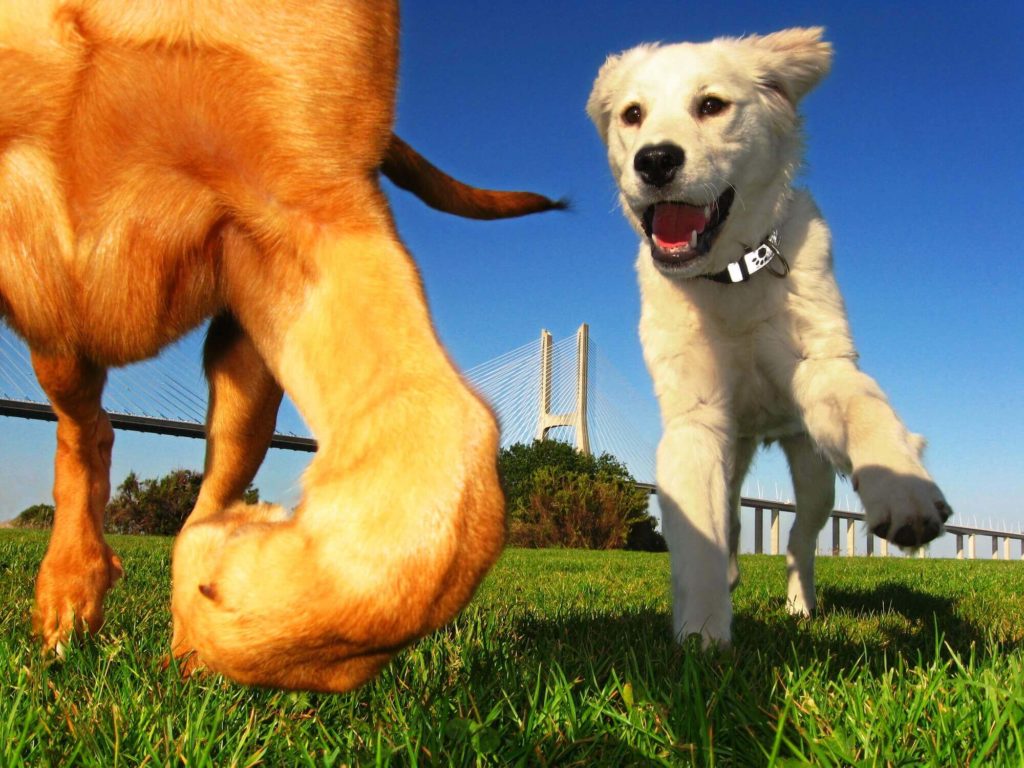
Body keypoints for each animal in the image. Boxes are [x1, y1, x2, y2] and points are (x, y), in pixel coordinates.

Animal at [0, 0, 561, 696]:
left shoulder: (312, 213)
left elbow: (442, 501)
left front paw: (219, 586)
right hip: (59, 326)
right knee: (86, 430)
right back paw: (70, 588)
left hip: (243, 376)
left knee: (199, 485)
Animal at [589, 27, 946, 647]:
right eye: (633, 114)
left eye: (711, 104)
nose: (654, 159)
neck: (731, 278)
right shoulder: (695, 420)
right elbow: (701, 541)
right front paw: (702, 636)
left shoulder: (823, 366)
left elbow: (867, 409)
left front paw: (903, 487)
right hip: (734, 455)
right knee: (732, 521)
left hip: (813, 467)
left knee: (799, 539)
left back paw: (801, 604)